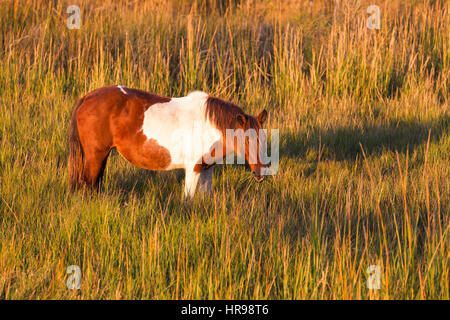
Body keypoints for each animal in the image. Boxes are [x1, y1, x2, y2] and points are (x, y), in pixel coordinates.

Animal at [67, 86, 268, 199]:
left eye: (264, 139)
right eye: (245, 140)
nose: (260, 174)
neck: (208, 124)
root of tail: (87, 97)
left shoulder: (207, 169)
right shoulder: (193, 168)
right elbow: (189, 199)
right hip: (95, 156)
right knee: (87, 184)